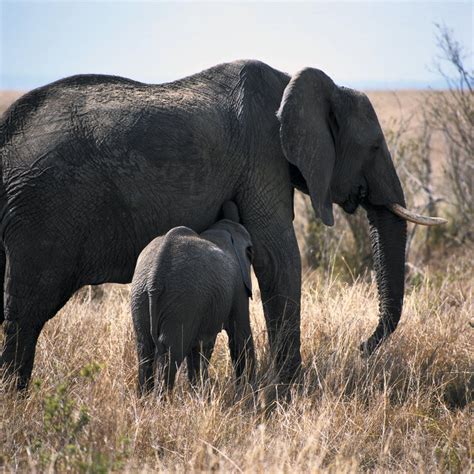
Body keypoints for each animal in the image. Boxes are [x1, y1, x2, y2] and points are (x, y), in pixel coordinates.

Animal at [130, 202, 256, 394]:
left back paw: (144, 398)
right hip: (181, 302)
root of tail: (154, 278)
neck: (223, 230)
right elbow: (240, 337)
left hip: (141, 295)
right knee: (171, 352)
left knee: (144, 349)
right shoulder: (238, 289)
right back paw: (160, 399)